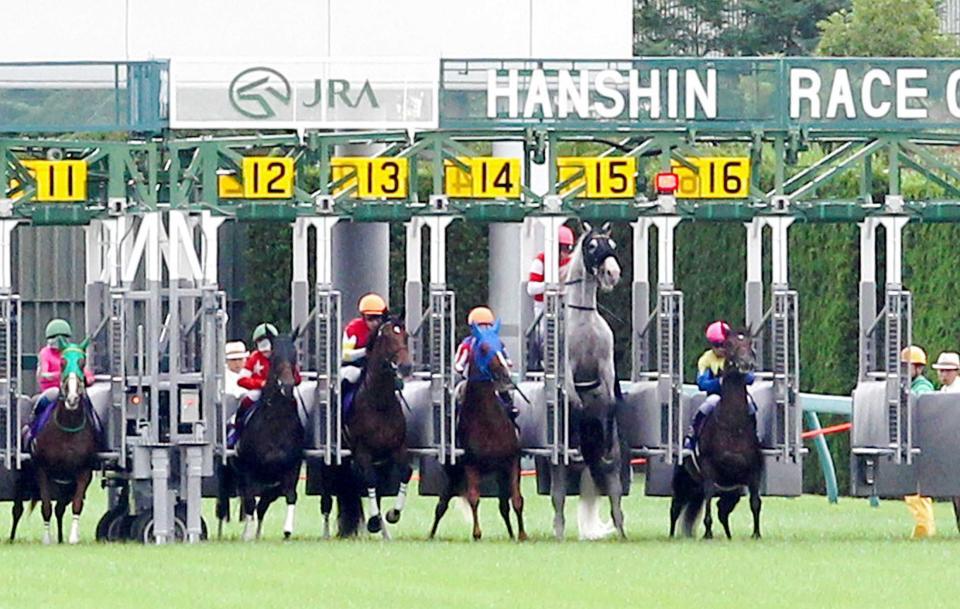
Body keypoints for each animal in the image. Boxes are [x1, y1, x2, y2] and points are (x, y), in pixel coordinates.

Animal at [11, 340, 97, 544]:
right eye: (63, 362)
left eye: (82, 362)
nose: (72, 398)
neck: (67, 428)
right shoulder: (42, 470)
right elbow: (46, 507)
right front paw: (46, 539)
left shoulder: (83, 472)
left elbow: (76, 505)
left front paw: (72, 538)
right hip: (24, 475)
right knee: (17, 509)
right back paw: (11, 537)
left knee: (60, 509)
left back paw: (60, 538)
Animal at [217, 332, 304, 540]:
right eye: (275, 357)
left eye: (294, 356)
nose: (287, 385)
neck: (276, 424)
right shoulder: (249, 470)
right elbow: (250, 503)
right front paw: (248, 535)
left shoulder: (291, 468)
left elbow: (287, 497)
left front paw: (287, 530)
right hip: (229, 472)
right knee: (227, 502)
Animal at [322, 316, 412, 540]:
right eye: (387, 337)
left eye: (406, 335)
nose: (406, 366)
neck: (379, 402)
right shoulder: (362, 451)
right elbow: (369, 480)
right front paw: (372, 522)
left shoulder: (396, 448)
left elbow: (405, 473)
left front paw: (392, 514)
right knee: (327, 495)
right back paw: (326, 532)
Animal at [428, 320, 524, 540]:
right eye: (483, 348)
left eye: (501, 345)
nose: (505, 374)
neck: (488, 421)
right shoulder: (471, 465)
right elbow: (473, 498)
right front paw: (477, 534)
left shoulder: (511, 462)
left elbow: (516, 500)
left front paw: (522, 535)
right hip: (454, 473)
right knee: (441, 505)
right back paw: (430, 534)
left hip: (498, 472)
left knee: (503, 505)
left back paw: (512, 534)